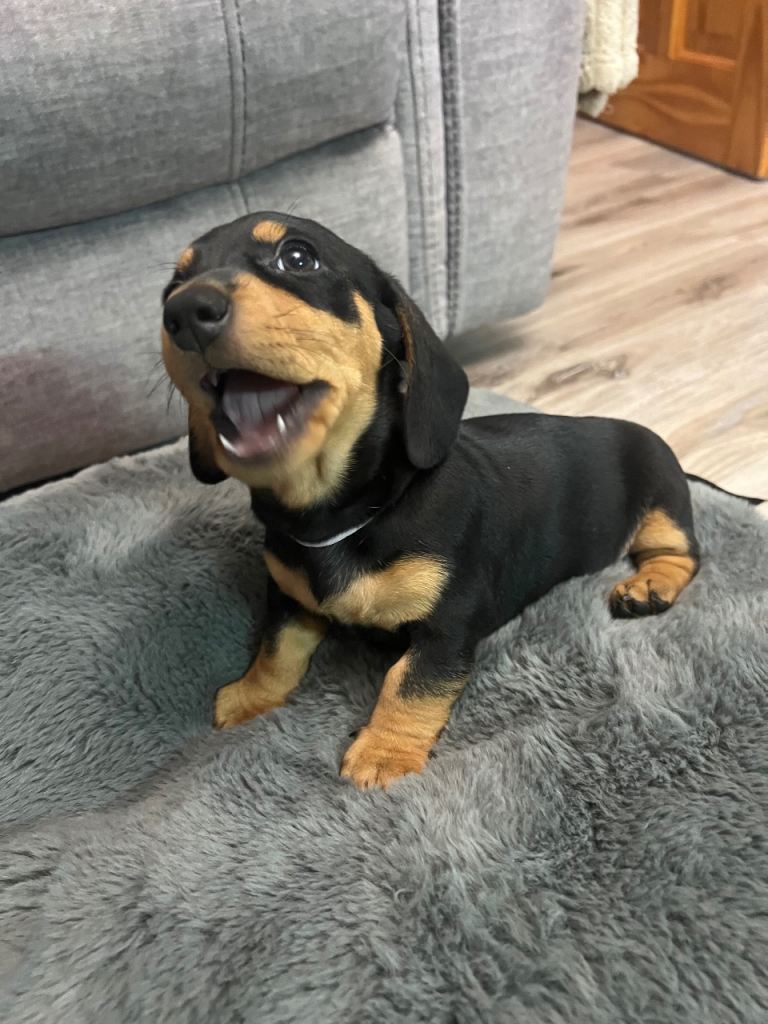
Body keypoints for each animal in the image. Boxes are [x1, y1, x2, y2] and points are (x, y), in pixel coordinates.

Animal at [161, 212, 699, 789]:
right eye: (173, 284)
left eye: (298, 257)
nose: (184, 312)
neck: (341, 516)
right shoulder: (289, 600)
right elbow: (275, 651)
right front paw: (250, 697)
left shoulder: (448, 628)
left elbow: (410, 687)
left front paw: (383, 754)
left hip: (663, 503)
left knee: (682, 555)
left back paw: (648, 586)